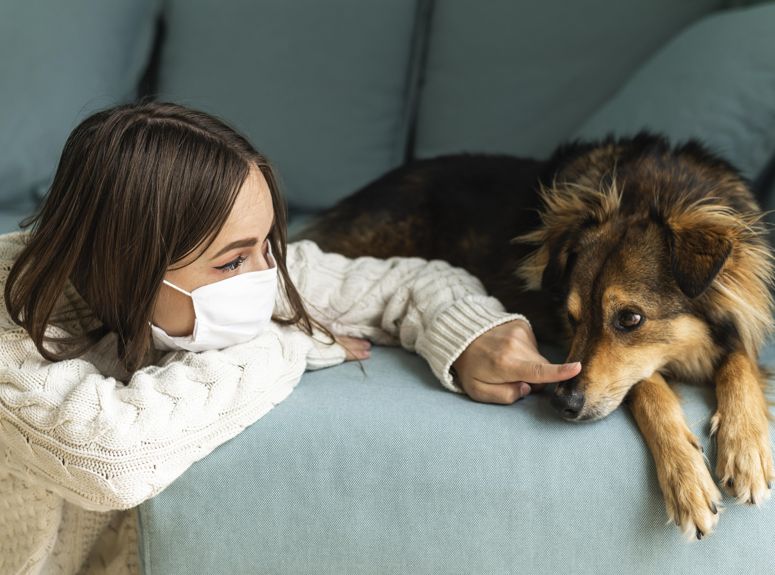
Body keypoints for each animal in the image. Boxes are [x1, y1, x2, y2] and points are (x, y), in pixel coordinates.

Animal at [296, 134, 775, 540]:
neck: (653, 189)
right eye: (571, 316)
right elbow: (647, 388)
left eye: (631, 319)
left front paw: (746, 448)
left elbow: (739, 364)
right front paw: (686, 479)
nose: (562, 404)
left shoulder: (738, 325)